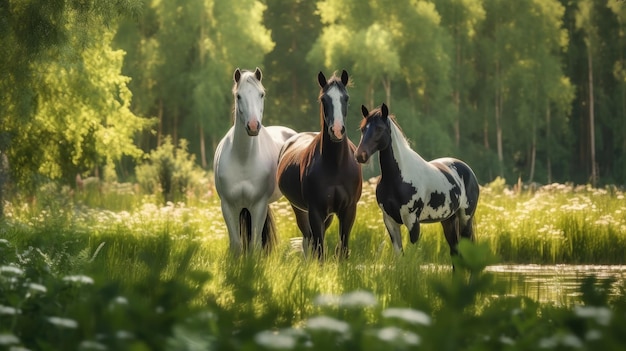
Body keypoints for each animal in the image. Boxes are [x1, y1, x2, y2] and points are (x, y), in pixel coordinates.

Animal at [212, 68, 294, 256]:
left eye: (261, 94)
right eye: (238, 96)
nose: (253, 126)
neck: (243, 159)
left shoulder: (258, 206)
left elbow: (255, 245)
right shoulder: (228, 206)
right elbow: (237, 245)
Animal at [276, 70, 360, 260]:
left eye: (346, 98)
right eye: (324, 99)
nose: (337, 130)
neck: (335, 166)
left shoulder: (349, 210)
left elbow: (342, 249)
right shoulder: (315, 211)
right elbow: (319, 250)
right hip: (299, 210)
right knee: (309, 240)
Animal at [356, 104, 478, 262]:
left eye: (379, 128)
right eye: (363, 129)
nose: (360, 155)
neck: (399, 178)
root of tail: (468, 170)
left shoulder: (412, 221)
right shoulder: (390, 221)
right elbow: (400, 256)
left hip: (465, 219)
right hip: (448, 220)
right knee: (455, 253)